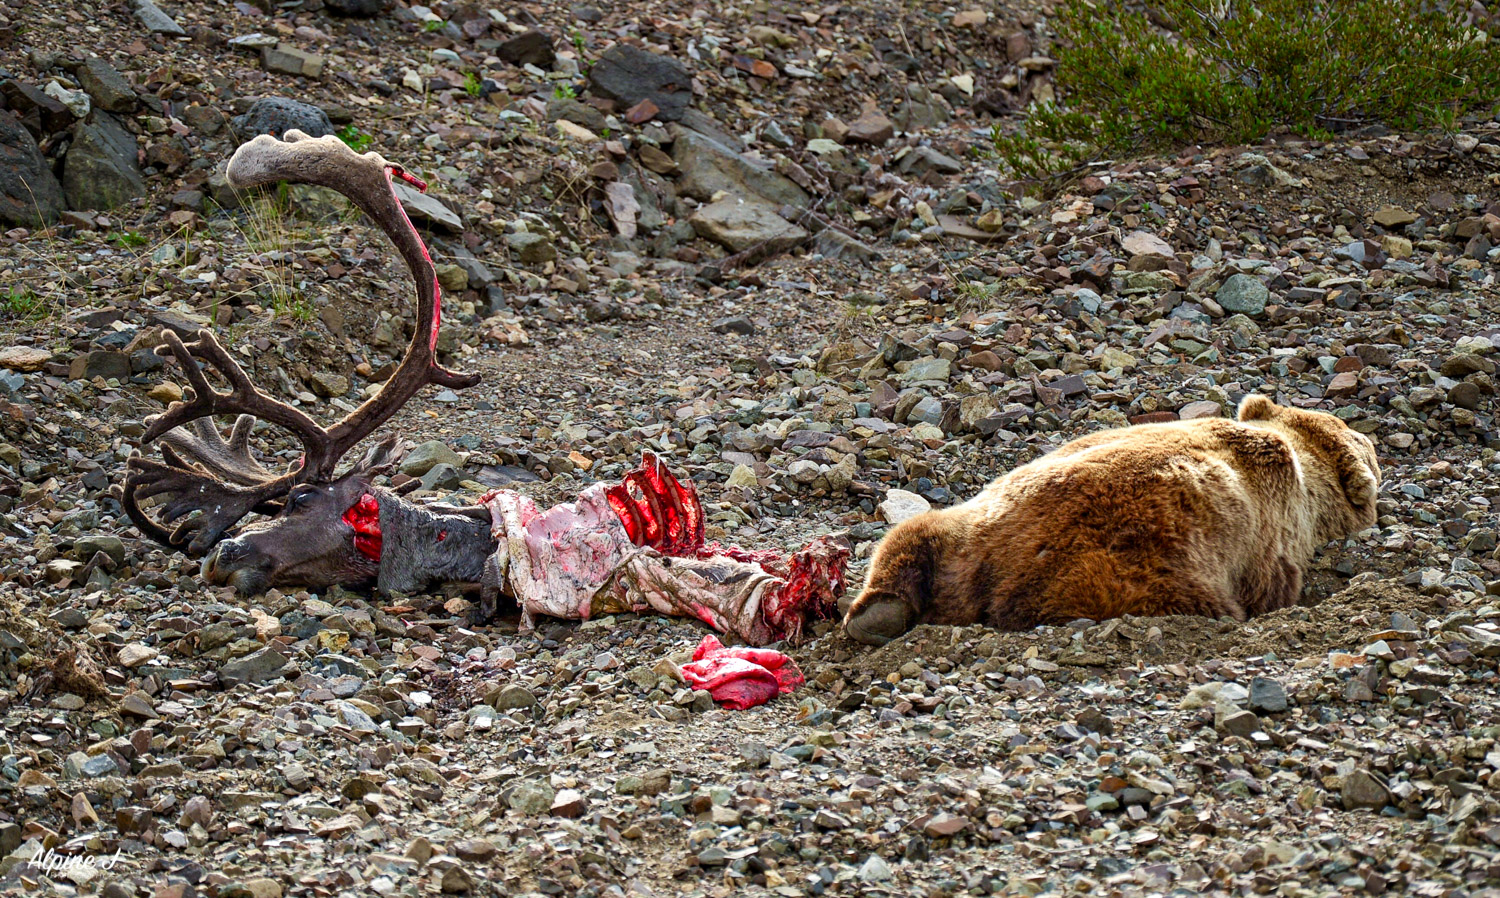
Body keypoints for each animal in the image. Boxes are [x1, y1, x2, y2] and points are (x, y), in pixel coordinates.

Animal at [840, 395, 1374, 647]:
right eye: (1362, 440)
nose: (1371, 441)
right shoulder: (1273, 537)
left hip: (968, 526)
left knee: (912, 536)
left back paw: (878, 613)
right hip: (1135, 571)